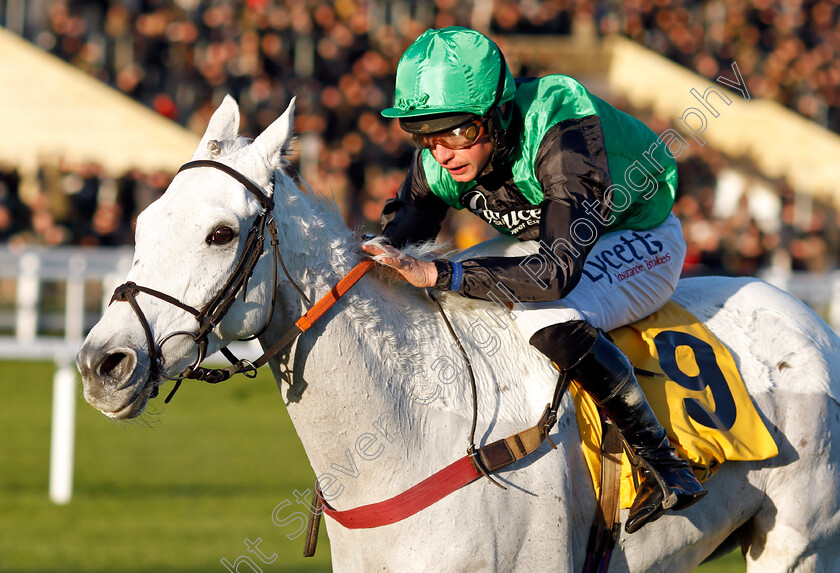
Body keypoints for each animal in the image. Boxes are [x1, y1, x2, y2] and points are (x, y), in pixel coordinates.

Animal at [75, 96, 840, 568]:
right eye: (143, 221)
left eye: (220, 233)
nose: (103, 363)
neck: (407, 434)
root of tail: (812, 323)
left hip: (800, 547)